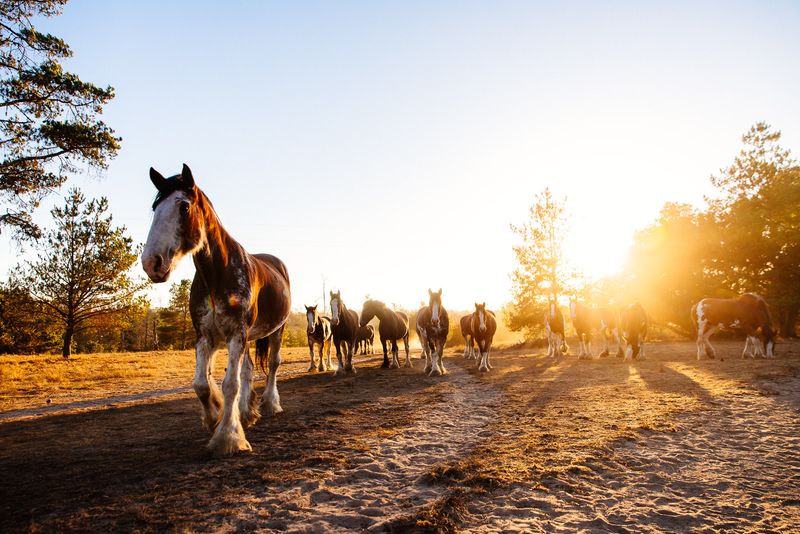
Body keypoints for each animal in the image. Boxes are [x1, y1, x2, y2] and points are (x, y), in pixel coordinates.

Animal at [142, 164, 291, 457]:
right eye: (155, 208)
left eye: (183, 206)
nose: (151, 262)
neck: (218, 273)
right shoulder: (206, 335)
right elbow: (202, 384)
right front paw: (215, 417)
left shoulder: (236, 334)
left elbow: (230, 384)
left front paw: (227, 437)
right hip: (249, 336)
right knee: (248, 370)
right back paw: (246, 413)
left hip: (275, 331)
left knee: (273, 364)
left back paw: (270, 404)